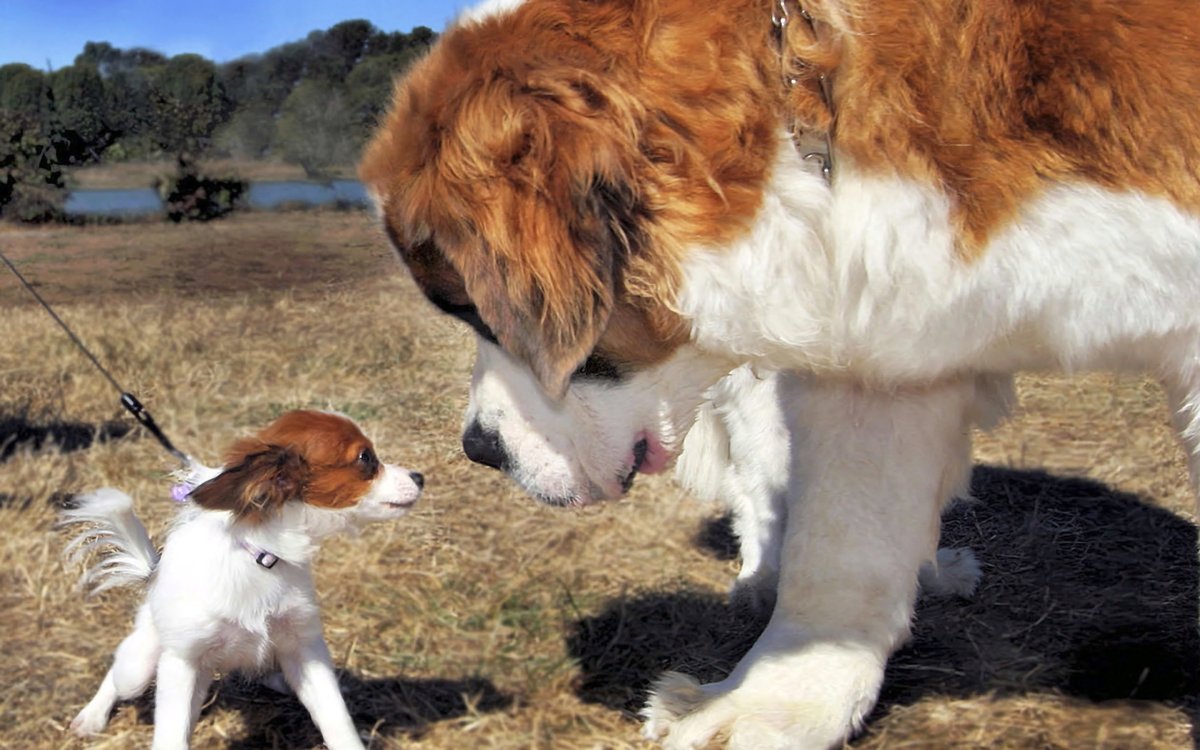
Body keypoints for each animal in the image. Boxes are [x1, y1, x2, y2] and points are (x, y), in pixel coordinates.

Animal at [63, 410, 427, 748]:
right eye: (366, 458)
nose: (420, 476)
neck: (262, 557)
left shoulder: (306, 648)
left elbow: (337, 721)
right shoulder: (182, 662)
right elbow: (172, 736)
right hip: (140, 665)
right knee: (117, 675)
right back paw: (92, 716)